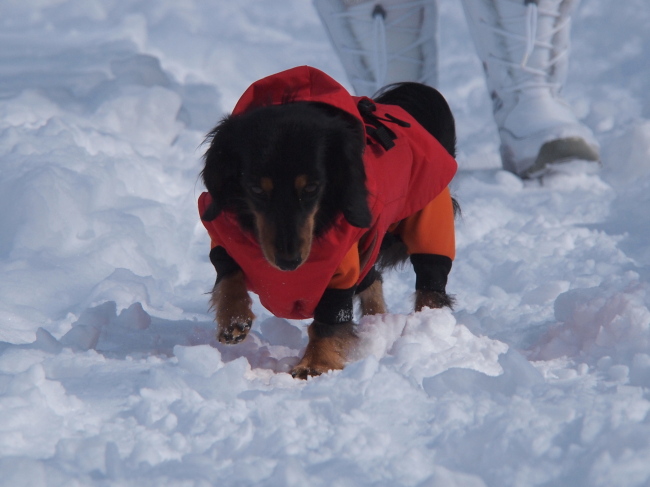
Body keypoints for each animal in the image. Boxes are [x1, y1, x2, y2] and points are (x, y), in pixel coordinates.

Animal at [197, 66, 456, 378]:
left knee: (431, 283)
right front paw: (233, 317)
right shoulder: (225, 238)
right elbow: (228, 272)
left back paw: (428, 328)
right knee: (373, 279)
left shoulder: (341, 267)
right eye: (256, 189)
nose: (289, 262)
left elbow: (329, 318)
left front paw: (315, 363)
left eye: (311, 187)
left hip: (428, 223)